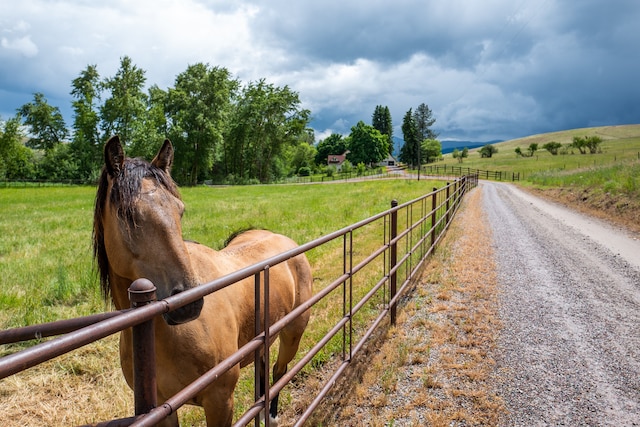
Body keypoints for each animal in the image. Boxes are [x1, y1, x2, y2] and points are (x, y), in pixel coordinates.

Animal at [94, 135, 314, 426]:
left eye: (180, 210)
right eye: (126, 214)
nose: (187, 304)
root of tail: (283, 239)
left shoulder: (220, 401)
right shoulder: (163, 410)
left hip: (293, 334)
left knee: (280, 371)